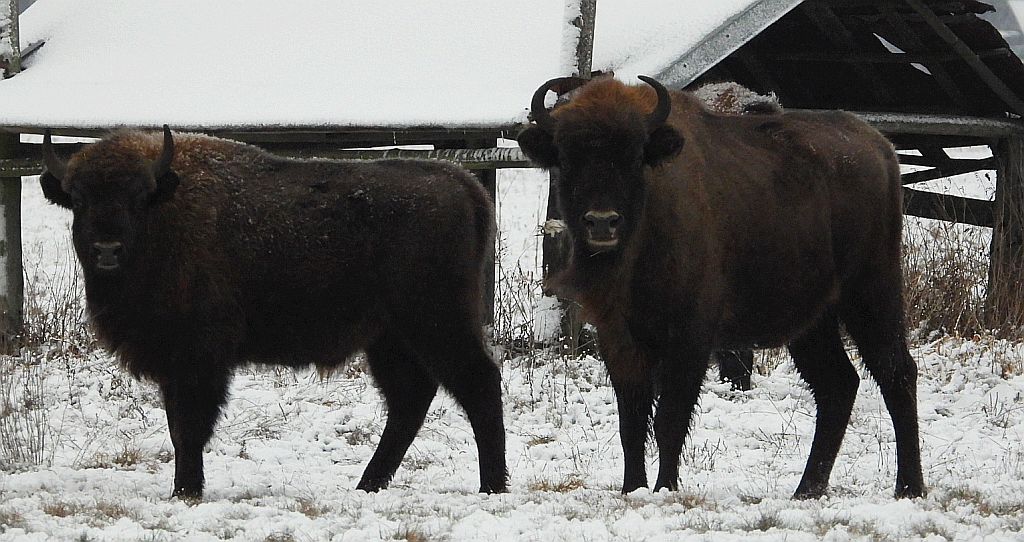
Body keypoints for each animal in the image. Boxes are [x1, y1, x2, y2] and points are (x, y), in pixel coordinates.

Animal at [40, 127, 507, 499]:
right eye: (77, 199)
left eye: (138, 197)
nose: (106, 251)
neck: (165, 213)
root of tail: (466, 185)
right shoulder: (175, 363)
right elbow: (178, 426)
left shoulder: (198, 358)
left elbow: (189, 427)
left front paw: (185, 491)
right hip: (389, 339)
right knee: (410, 399)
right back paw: (367, 485)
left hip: (436, 324)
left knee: (478, 384)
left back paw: (492, 487)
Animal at [518, 76, 924, 499]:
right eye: (567, 157)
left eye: (633, 155)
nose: (602, 222)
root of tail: (880, 147)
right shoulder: (619, 337)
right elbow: (632, 421)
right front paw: (633, 488)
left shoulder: (690, 335)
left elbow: (670, 419)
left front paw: (665, 488)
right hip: (814, 321)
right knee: (838, 384)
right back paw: (807, 489)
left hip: (871, 293)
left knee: (896, 373)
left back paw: (908, 487)